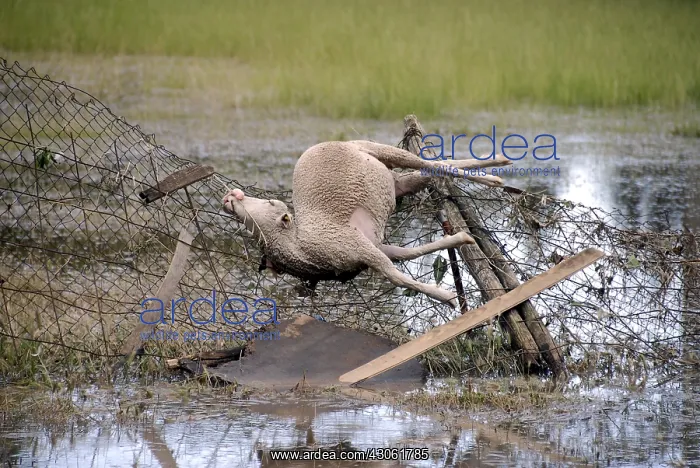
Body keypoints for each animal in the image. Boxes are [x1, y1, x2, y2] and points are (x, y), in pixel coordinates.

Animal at [222, 140, 511, 308]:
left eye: (271, 203)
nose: (229, 197)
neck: (300, 246)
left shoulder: (360, 247)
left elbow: (396, 277)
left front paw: (447, 297)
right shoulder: (374, 248)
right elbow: (407, 254)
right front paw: (462, 239)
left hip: (376, 148)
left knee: (432, 163)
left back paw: (494, 176)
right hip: (395, 181)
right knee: (434, 168)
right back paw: (497, 163)